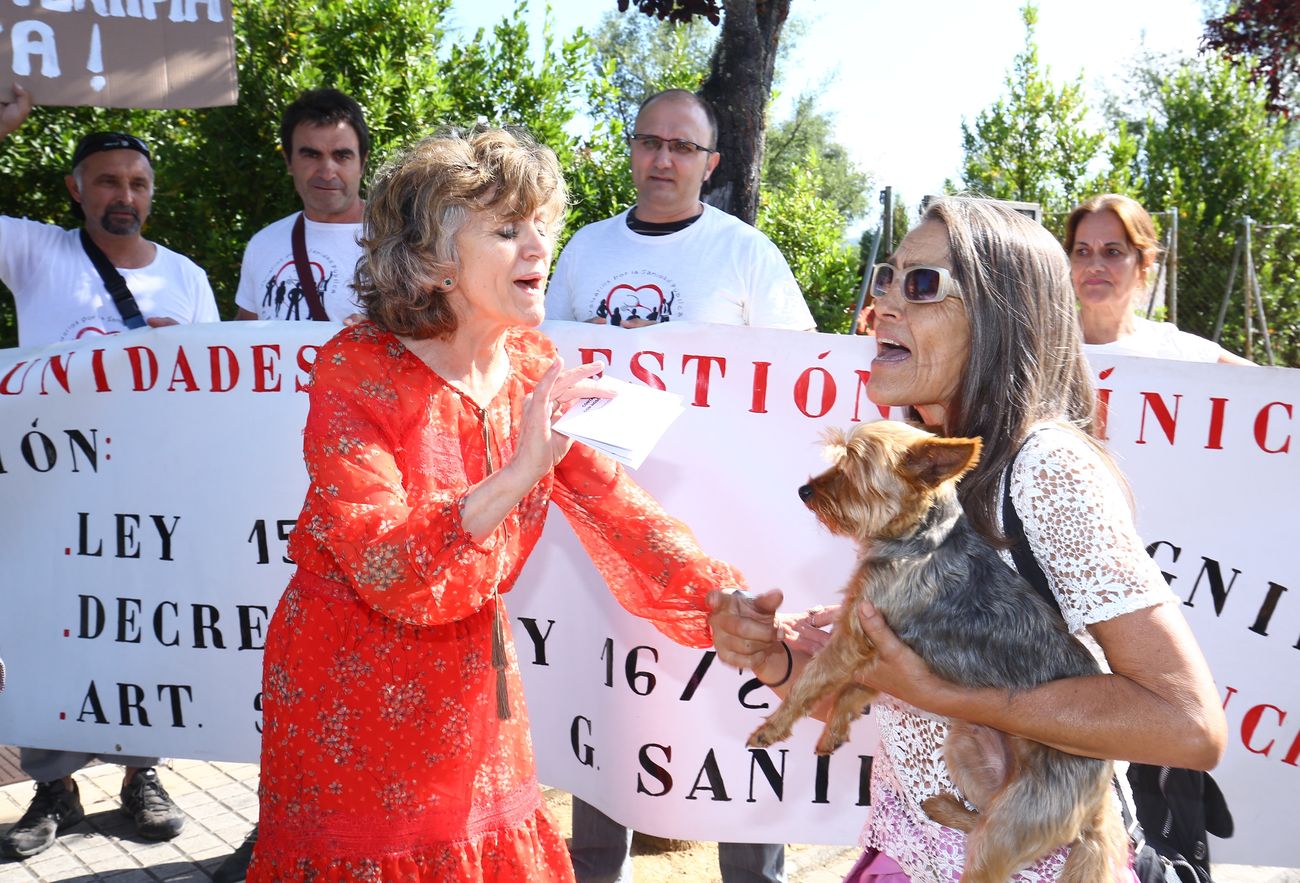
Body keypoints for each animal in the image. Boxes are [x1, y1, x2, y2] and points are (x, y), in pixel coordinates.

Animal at [754, 421, 1128, 883]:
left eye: (853, 467)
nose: (804, 490)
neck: (918, 539)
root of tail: (1098, 801)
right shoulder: (881, 651)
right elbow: (854, 690)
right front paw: (835, 729)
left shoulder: (854, 637)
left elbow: (812, 681)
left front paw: (772, 727)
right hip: (968, 751)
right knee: (981, 814)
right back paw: (944, 807)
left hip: (1020, 815)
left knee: (990, 849)